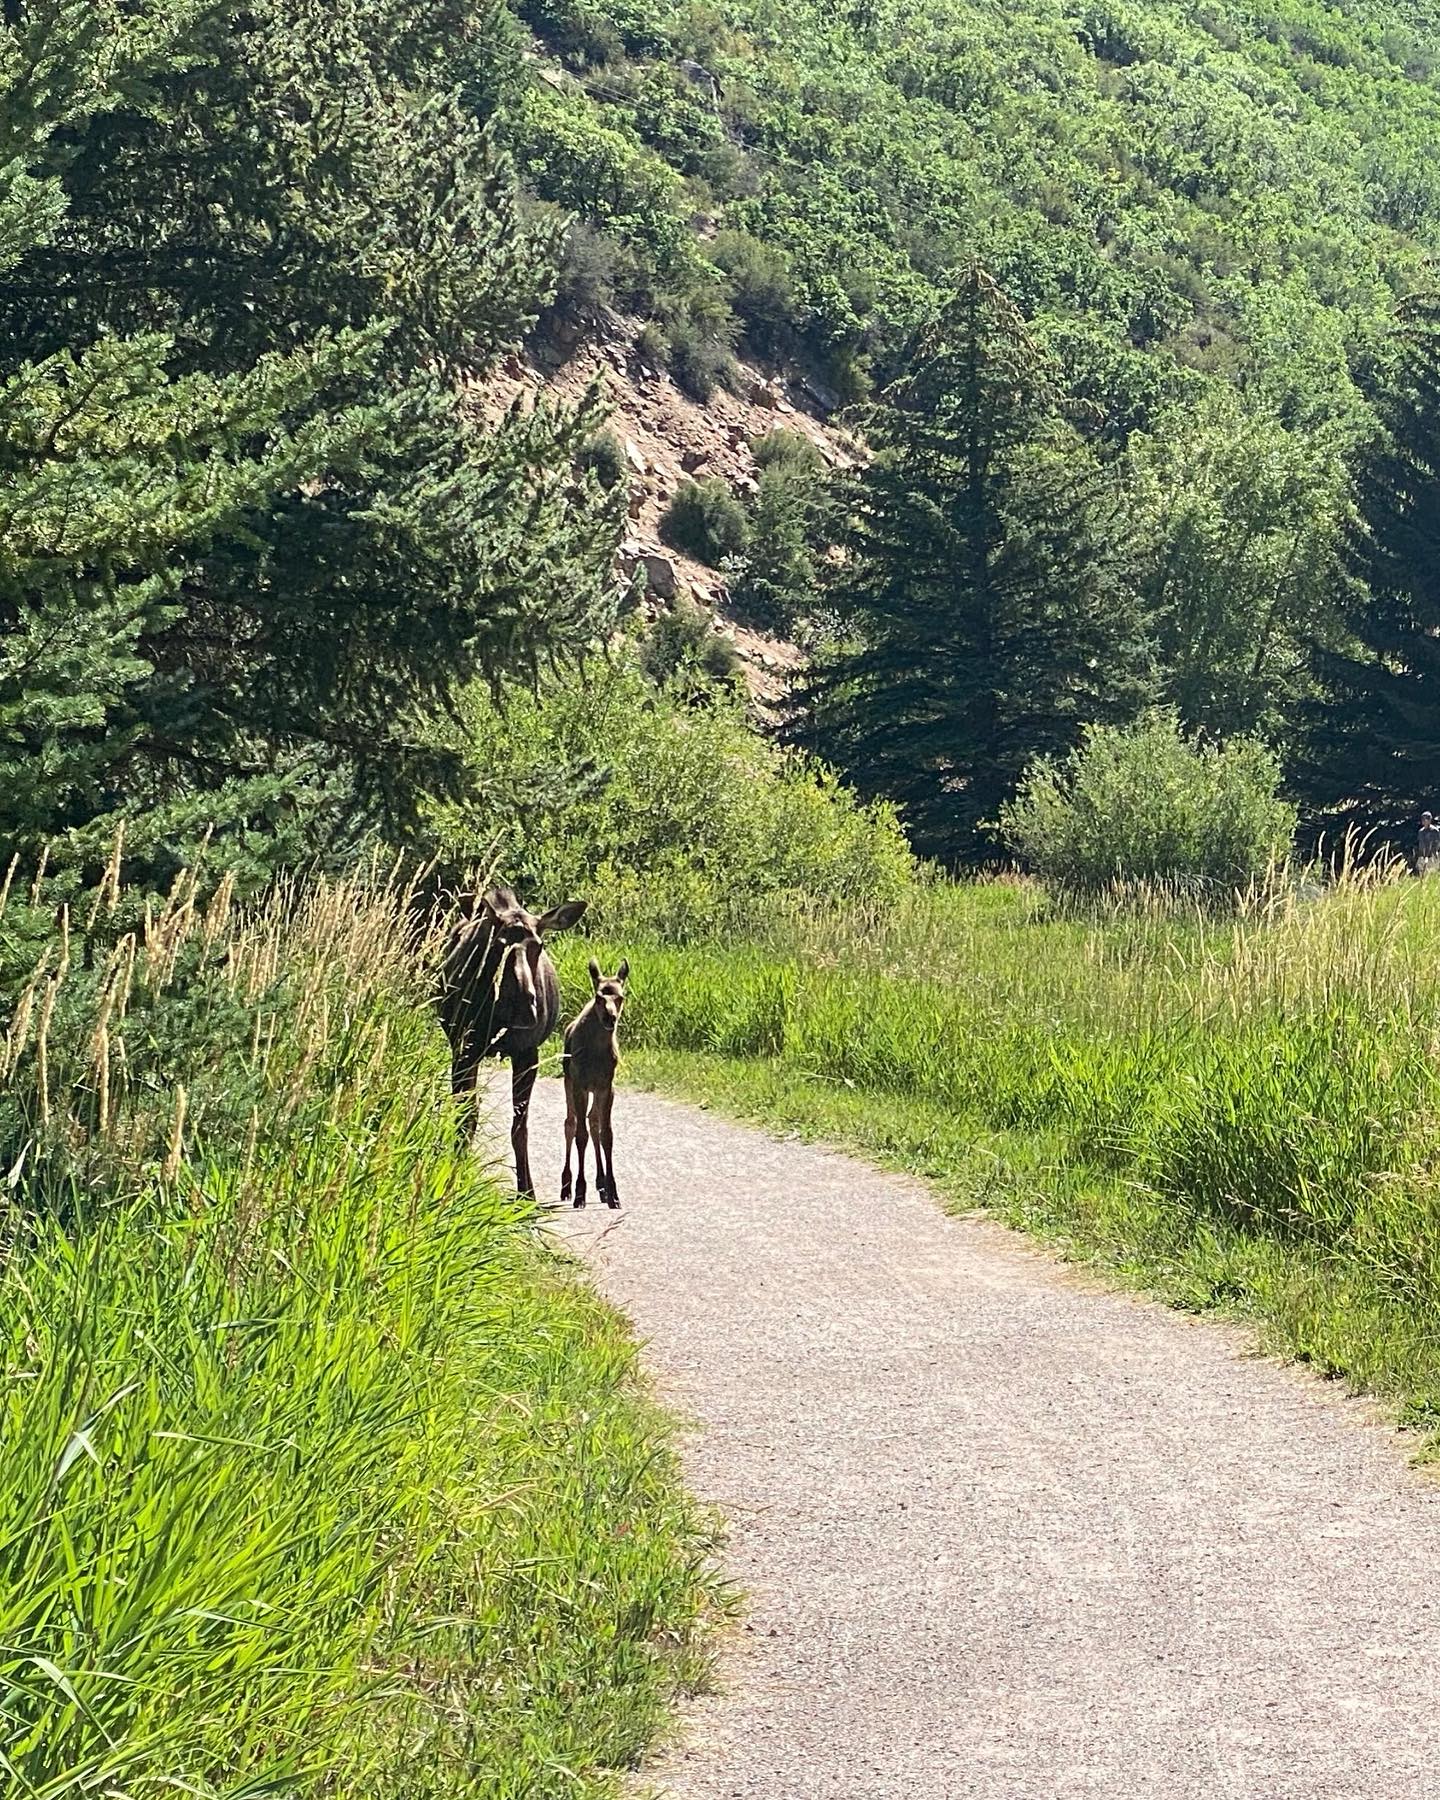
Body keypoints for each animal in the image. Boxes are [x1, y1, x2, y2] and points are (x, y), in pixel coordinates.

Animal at [437, 884, 586, 1198]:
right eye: (499, 944)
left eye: (539, 945)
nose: (524, 1005)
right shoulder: (466, 1050)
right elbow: (466, 1116)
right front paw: (456, 1177)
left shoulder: (528, 1053)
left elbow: (520, 1126)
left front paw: (527, 1192)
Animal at [560, 958, 629, 1210]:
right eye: (599, 997)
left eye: (620, 996)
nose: (610, 1018)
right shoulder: (580, 1083)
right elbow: (580, 1136)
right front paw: (580, 1192)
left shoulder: (606, 1086)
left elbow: (606, 1134)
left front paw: (614, 1193)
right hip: (568, 1081)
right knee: (570, 1124)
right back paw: (566, 1186)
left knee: (593, 1121)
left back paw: (601, 1183)